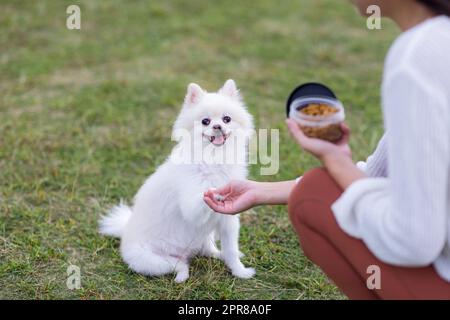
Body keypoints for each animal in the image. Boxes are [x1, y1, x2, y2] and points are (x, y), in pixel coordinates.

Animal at [100, 79, 255, 282]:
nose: (217, 126)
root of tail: (125, 231)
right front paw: (213, 191)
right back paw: (182, 275)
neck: (213, 157)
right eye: (205, 121)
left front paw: (240, 271)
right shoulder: (191, 208)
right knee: (179, 265)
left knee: (207, 248)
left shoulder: (228, 220)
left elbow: (231, 250)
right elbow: (199, 199)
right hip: (154, 261)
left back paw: (216, 254)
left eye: (226, 119)